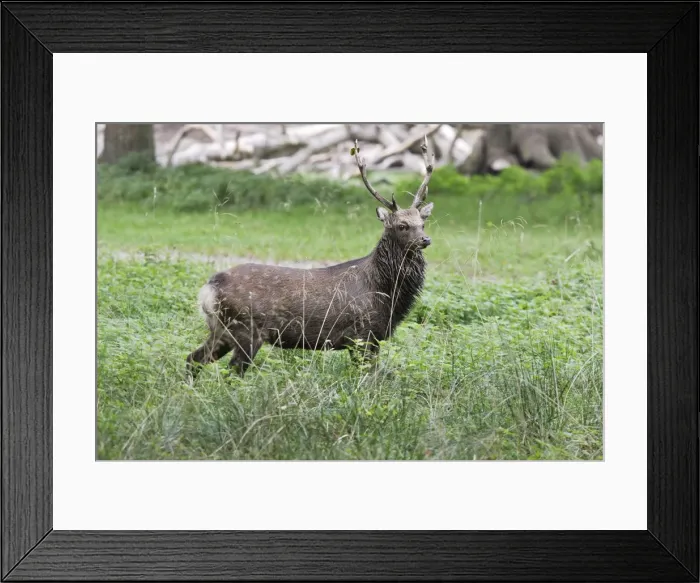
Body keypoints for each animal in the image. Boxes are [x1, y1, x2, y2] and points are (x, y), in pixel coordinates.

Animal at [185, 136, 436, 380]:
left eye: (422, 224)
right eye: (402, 225)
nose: (426, 239)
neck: (385, 292)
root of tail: (209, 288)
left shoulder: (373, 338)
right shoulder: (361, 334)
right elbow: (368, 379)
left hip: (221, 330)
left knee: (193, 358)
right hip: (246, 329)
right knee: (232, 371)